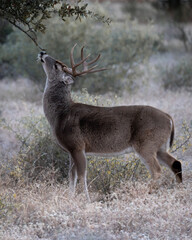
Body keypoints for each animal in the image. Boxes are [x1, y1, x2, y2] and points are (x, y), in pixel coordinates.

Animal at [38, 44, 182, 201]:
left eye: (57, 65)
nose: (42, 52)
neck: (61, 114)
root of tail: (168, 117)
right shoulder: (70, 150)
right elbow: (72, 177)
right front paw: (70, 199)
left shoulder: (77, 146)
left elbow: (82, 176)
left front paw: (86, 200)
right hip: (160, 146)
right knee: (175, 163)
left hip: (146, 144)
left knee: (157, 171)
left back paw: (147, 193)